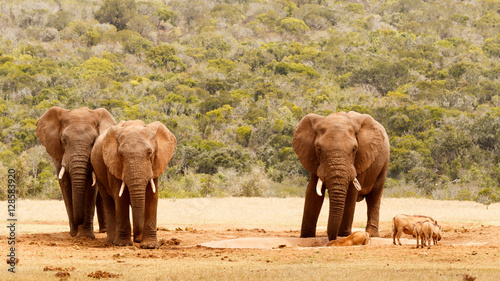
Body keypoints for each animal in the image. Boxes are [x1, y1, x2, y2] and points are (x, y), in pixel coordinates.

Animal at [36, 106, 116, 237]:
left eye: (94, 141)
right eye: (63, 139)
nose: (79, 221)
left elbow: (91, 186)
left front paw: (85, 236)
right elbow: (65, 183)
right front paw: (74, 234)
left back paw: (104, 231)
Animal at [91, 118, 177, 247]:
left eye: (149, 152)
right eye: (121, 155)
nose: (138, 239)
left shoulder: (155, 165)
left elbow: (152, 197)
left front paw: (149, 246)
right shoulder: (113, 164)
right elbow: (120, 198)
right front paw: (123, 244)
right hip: (99, 172)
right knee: (108, 201)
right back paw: (112, 241)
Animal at [292, 110, 390, 240]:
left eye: (354, 149)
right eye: (318, 149)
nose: (331, 238)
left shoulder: (361, 157)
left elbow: (351, 192)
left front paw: (343, 235)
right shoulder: (312, 158)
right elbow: (313, 192)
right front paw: (307, 237)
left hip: (384, 163)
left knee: (374, 197)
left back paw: (371, 234)